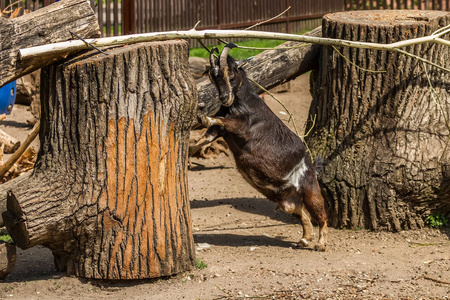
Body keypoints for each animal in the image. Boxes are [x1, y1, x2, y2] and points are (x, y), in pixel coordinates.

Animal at [195, 43, 328, 251]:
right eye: (212, 76)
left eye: (231, 72)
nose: (224, 98)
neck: (241, 104)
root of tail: (313, 167)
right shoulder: (220, 131)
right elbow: (205, 137)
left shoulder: (242, 126)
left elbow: (222, 120)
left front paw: (203, 117)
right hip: (287, 199)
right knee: (301, 212)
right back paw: (305, 239)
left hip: (310, 189)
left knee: (321, 214)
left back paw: (320, 244)